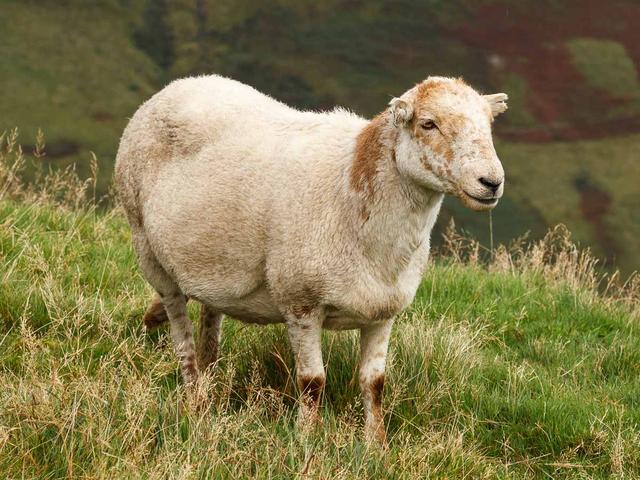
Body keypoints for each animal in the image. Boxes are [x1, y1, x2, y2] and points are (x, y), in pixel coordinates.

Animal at [115, 74, 507, 443]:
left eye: (488, 123)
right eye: (428, 124)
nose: (491, 182)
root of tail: (173, 88)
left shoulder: (383, 312)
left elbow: (374, 383)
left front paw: (376, 445)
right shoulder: (301, 304)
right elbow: (312, 381)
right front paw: (307, 439)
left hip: (216, 261)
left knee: (211, 313)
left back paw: (211, 377)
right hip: (147, 247)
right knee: (179, 324)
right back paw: (195, 392)